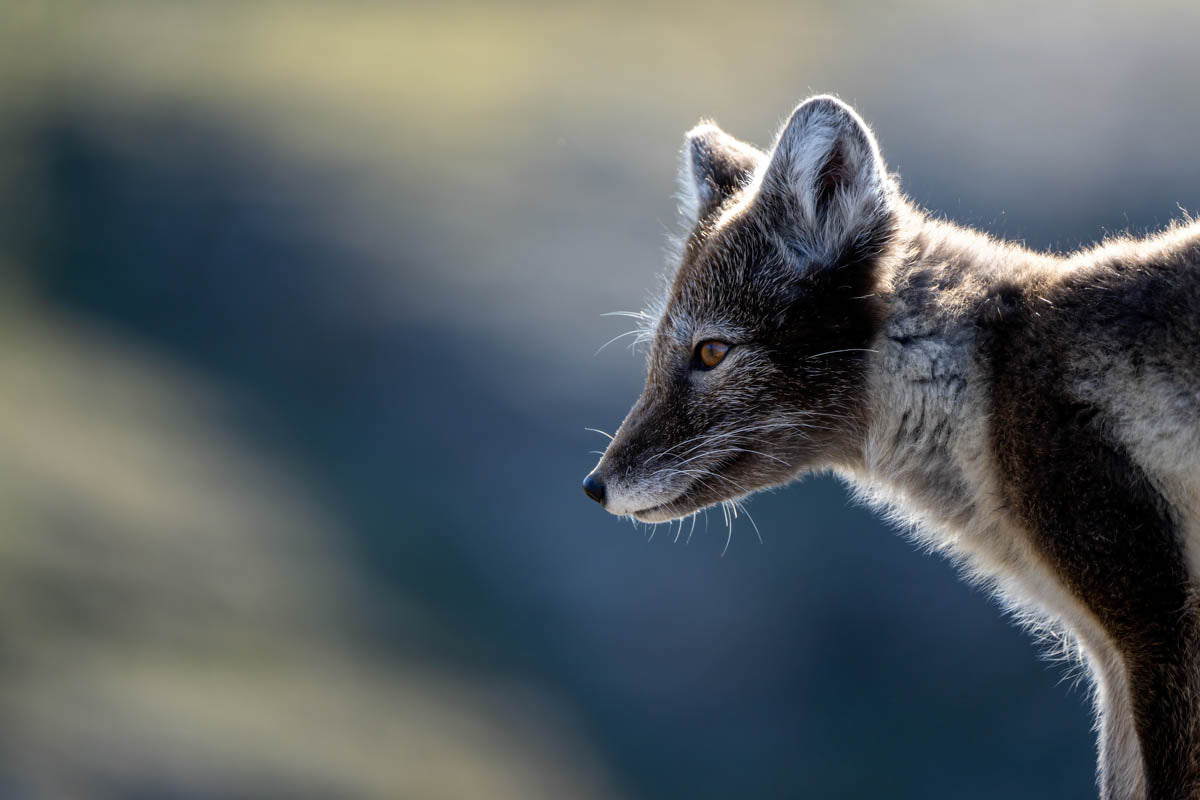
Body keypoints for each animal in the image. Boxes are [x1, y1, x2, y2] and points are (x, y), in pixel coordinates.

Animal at [585, 95, 1200, 800]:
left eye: (711, 352)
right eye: (656, 352)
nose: (594, 486)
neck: (986, 379)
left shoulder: (1155, 627)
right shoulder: (1114, 656)